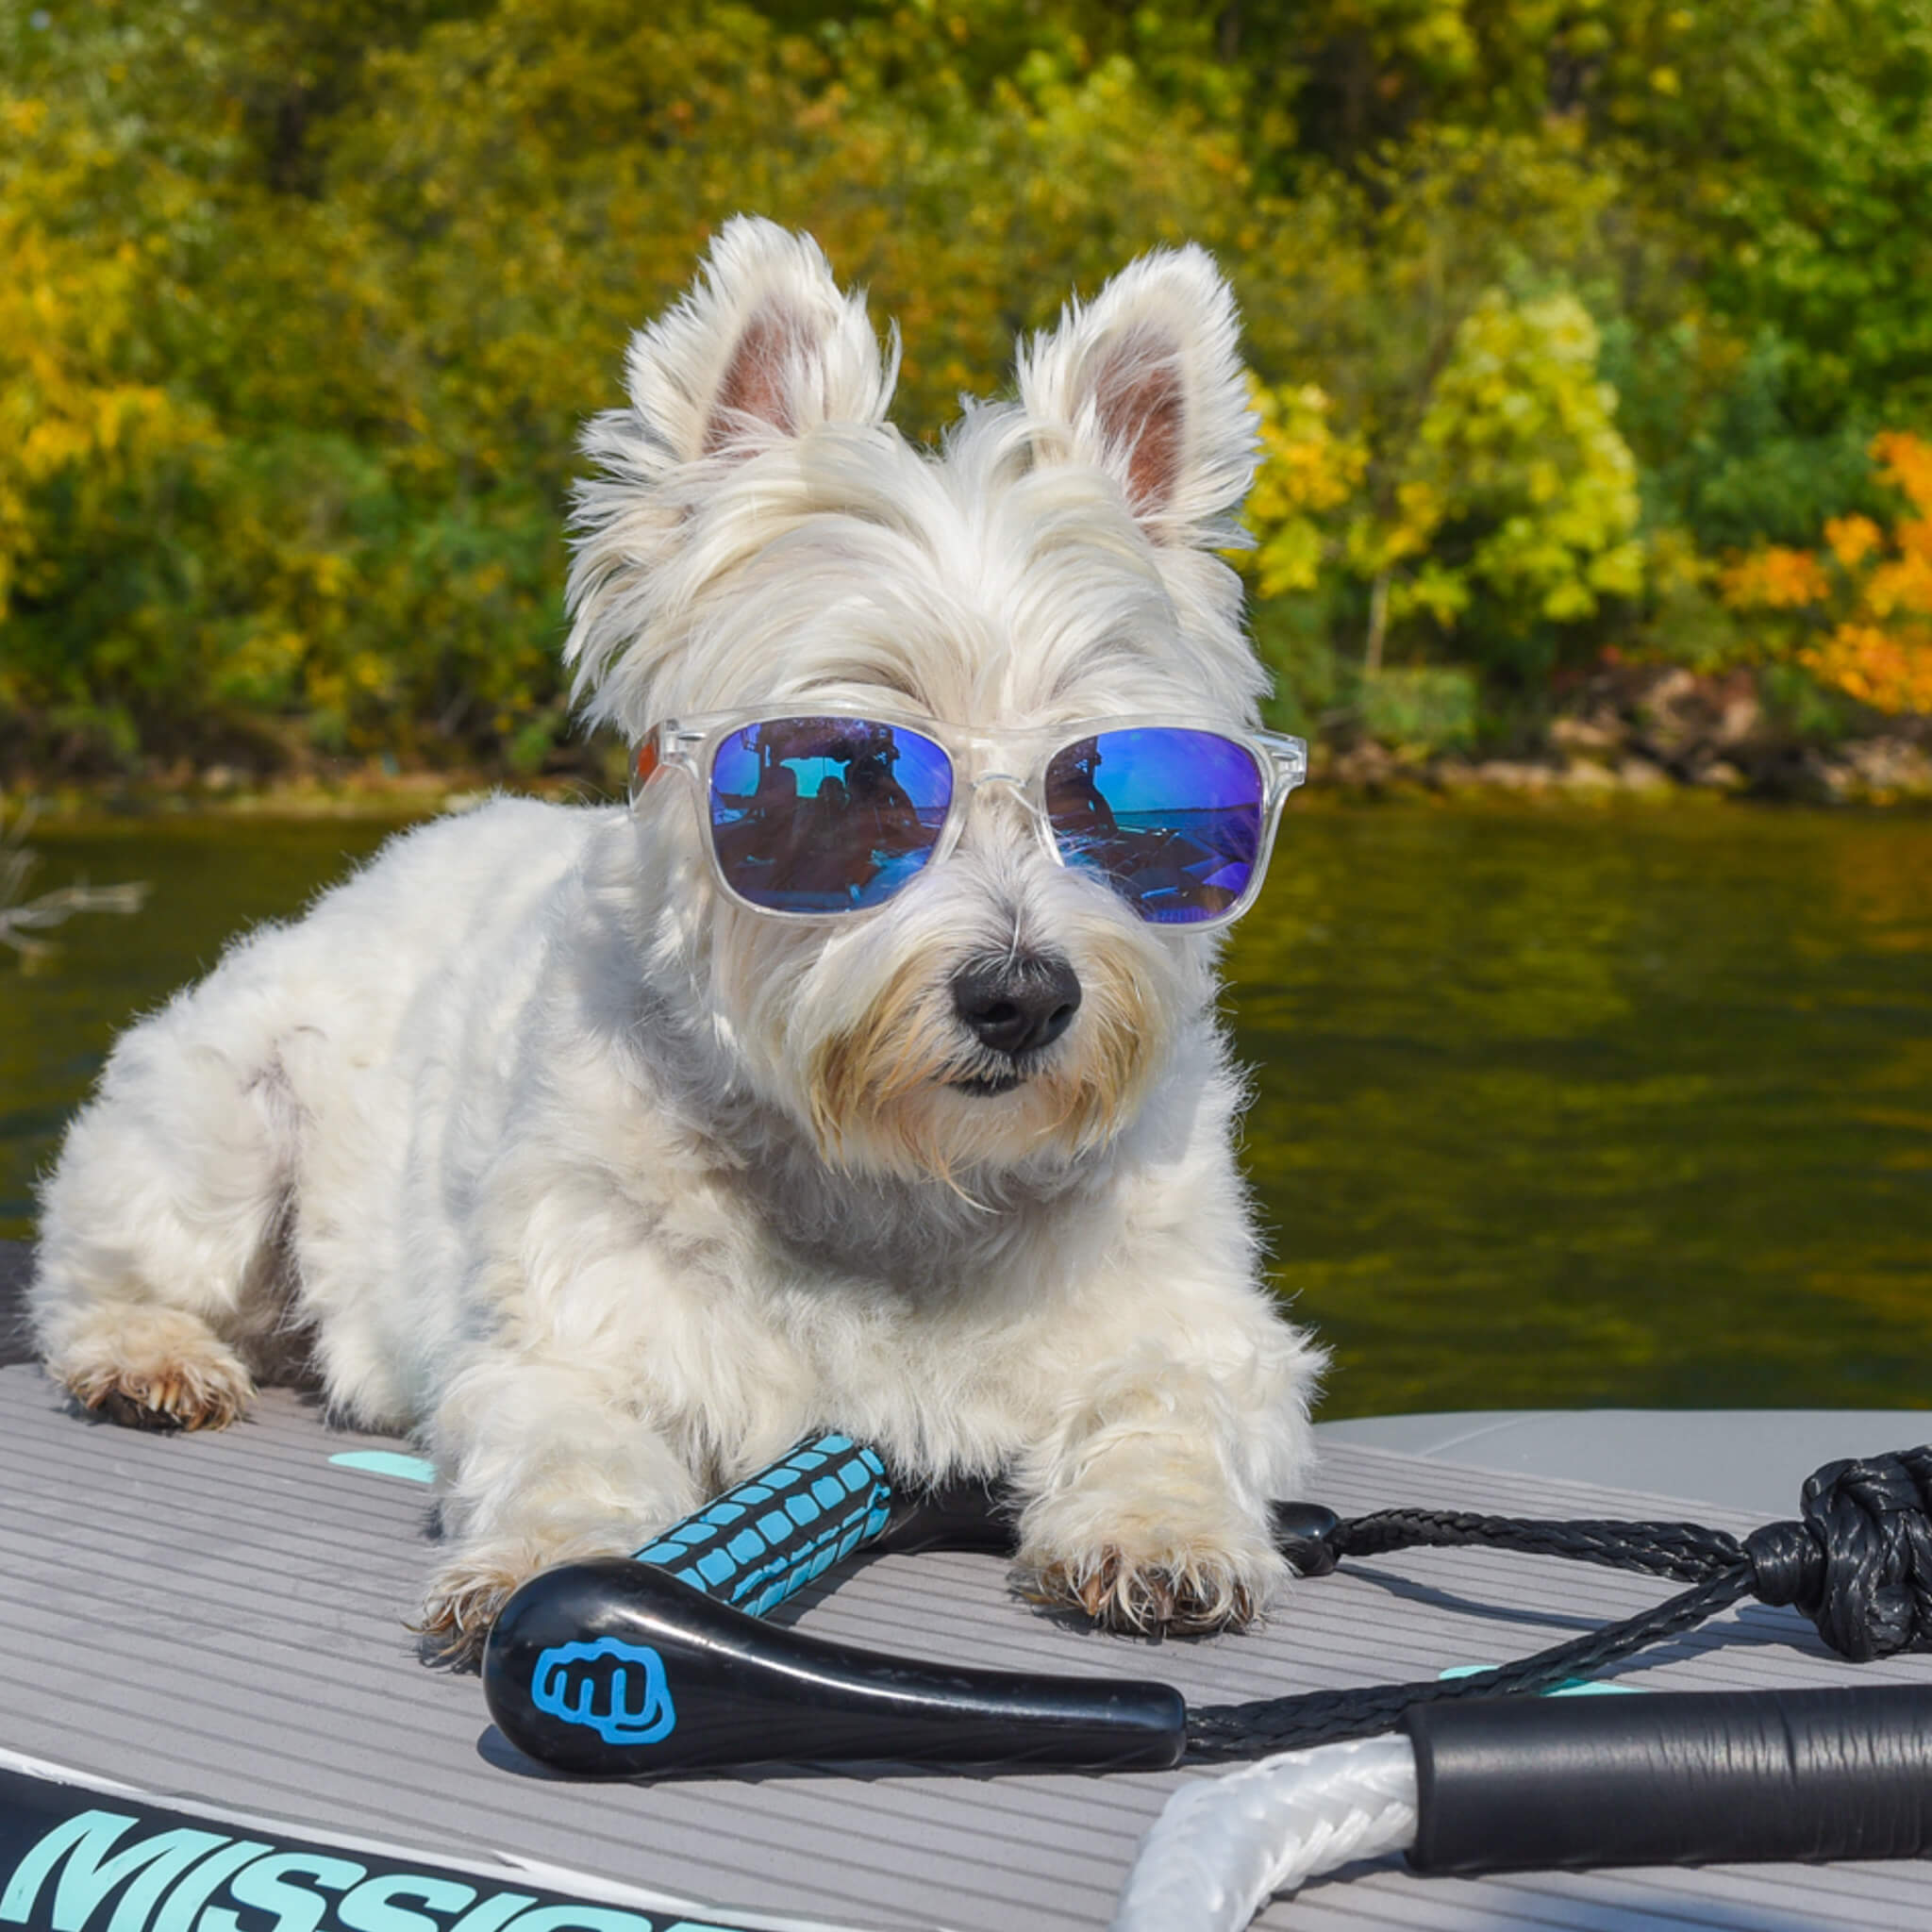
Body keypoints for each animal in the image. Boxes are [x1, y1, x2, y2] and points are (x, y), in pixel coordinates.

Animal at [30, 215, 1321, 1661]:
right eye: (848, 780)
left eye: (1117, 789)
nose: (1023, 995)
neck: (894, 1179)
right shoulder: (569, 1331)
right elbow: (565, 1446)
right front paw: (545, 1561)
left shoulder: (1198, 1321)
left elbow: (1172, 1405)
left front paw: (1159, 1532)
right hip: (216, 1116)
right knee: (100, 1267)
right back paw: (149, 1359)